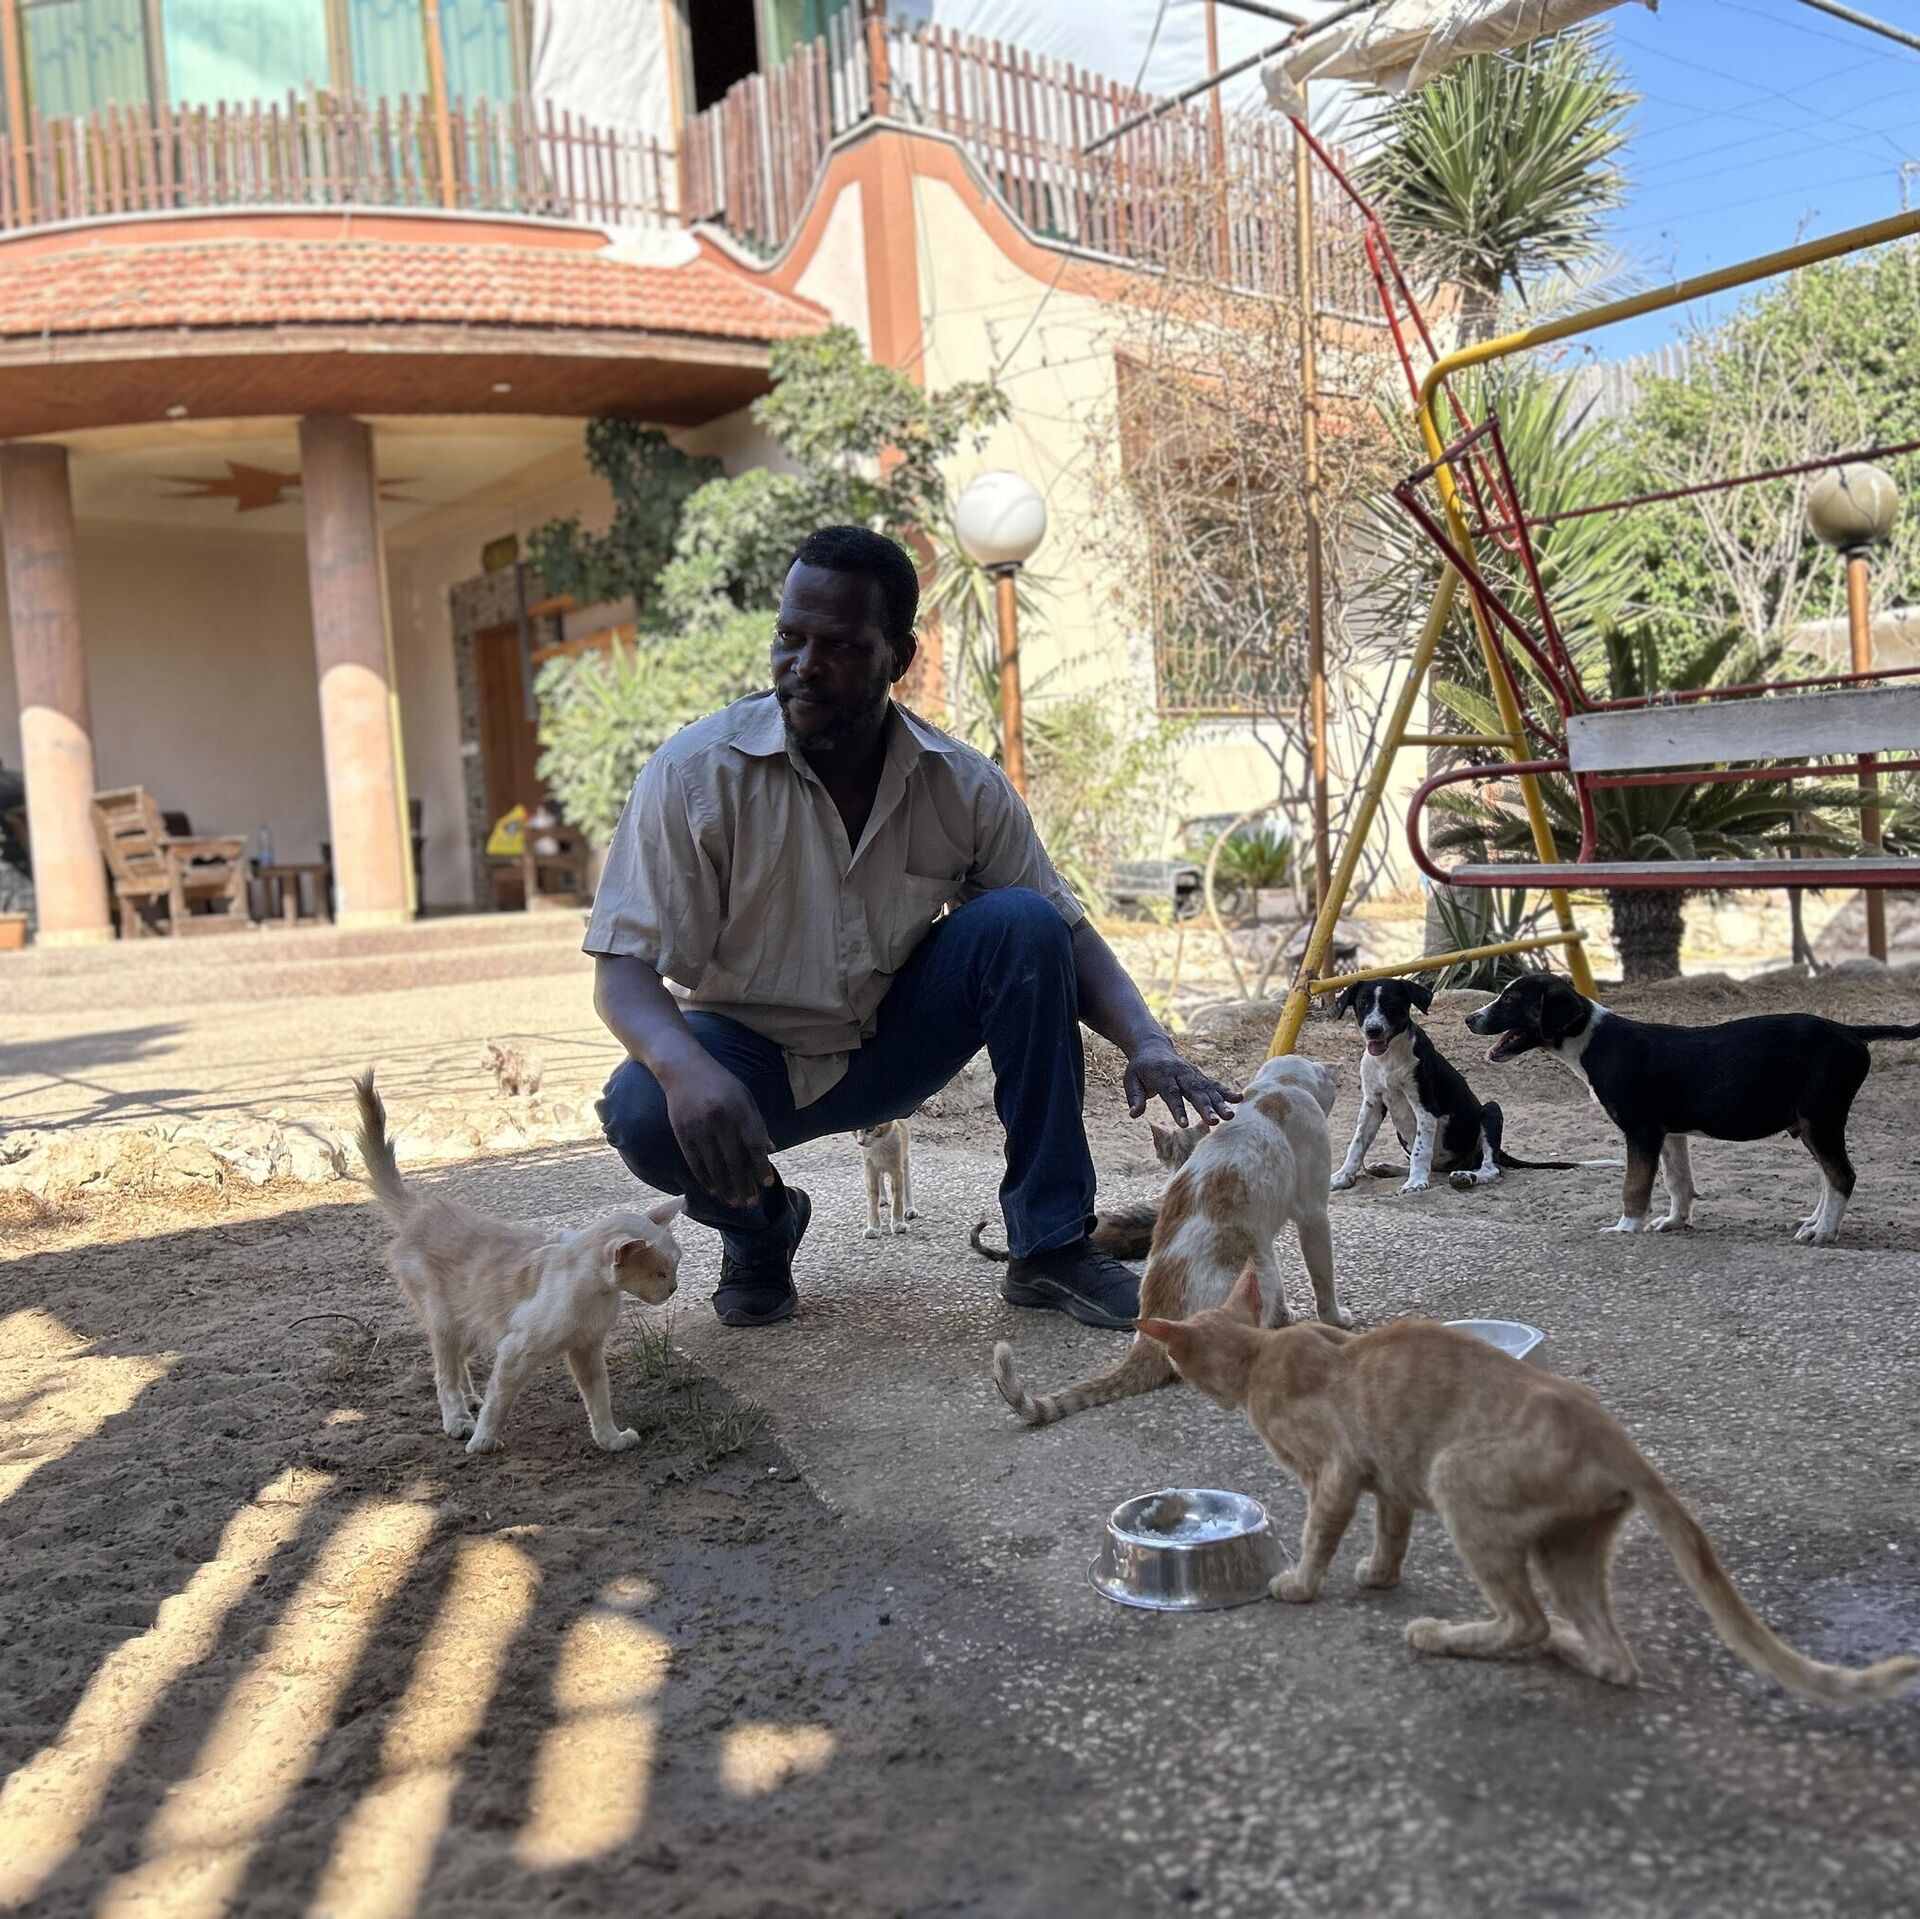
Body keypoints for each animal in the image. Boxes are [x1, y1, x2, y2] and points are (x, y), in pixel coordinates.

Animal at [353, 1070, 682, 1455]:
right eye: (659, 1272)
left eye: (676, 1265)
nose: (674, 1288)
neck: (593, 1294)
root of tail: (423, 1210)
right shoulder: (515, 1350)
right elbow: (500, 1400)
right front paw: (483, 1440)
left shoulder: (585, 1349)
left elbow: (599, 1399)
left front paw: (610, 1438)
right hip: (445, 1319)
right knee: (444, 1374)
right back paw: (459, 1418)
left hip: (472, 1322)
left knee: (459, 1364)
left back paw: (470, 1399)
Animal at [992, 1052, 1345, 1428]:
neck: (1272, 1089)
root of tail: (1155, 1327)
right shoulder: (1314, 1213)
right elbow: (1323, 1278)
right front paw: (1336, 1320)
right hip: (1260, 1268)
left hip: (1263, 1258)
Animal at [1136, 1270, 1920, 1704]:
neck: (1263, 1352)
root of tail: (1616, 1439)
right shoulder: (1390, 1477)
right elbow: (1392, 1533)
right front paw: (1380, 1575)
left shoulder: (1335, 1473)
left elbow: (1318, 1534)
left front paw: (1300, 1583)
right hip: (1566, 1544)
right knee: (1612, 1654)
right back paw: (1572, 1645)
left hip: (1457, 1477)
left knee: (1525, 1620)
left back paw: (1447, 1637)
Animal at [1330, 977, 1601, 1194]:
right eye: (1362, 1004)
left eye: (1392, 1004)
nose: (1373, 1030)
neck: (1388, 1059)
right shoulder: (1372, 1104)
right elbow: (1357, 1145)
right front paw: (1342, 1177)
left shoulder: (1426, 1106)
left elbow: (1420, 1149)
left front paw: (1416, 1183)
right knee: (1434, 1166)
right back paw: (1387, 1167)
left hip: (1490, 1111)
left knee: (1492, 1168)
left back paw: (1466, 1177)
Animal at [1464, 972, 1920, 1245]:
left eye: (1510, 1000)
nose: (1469, 1019)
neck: (1593, 1041)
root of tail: (1850, 1031)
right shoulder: (1670, 1132)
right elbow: (1677, 1182)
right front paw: (1674, 1223)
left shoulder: (1642, 1132)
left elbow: (1634, 1185)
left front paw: (1626, 1227)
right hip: (1815, 1124)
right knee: (1831, 1177)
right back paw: (1815, 1223)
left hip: (1819, 1120)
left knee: (1842, 1176)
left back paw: (1823, 1232)